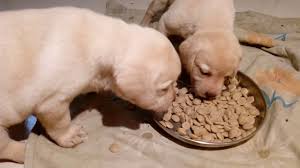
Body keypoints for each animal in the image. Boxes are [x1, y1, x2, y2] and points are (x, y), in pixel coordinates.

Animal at [0, 6, 180, 163]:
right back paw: (24, 151)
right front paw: (70, 135)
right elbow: (60, 122)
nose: (173, 99)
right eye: (164, 89)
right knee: (7, 147)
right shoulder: (52, 102)